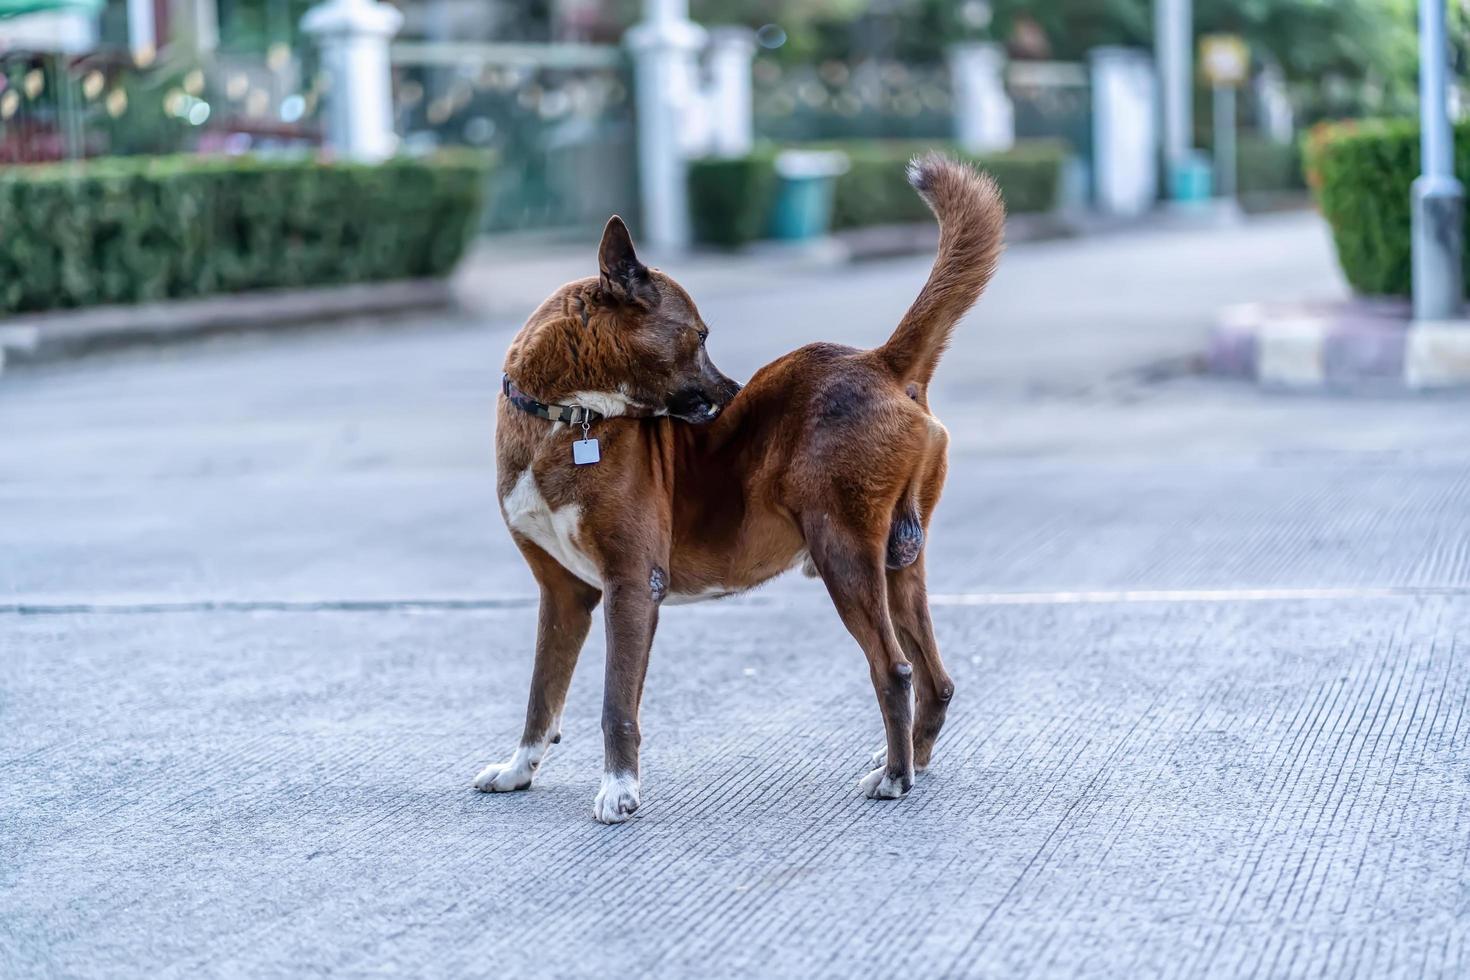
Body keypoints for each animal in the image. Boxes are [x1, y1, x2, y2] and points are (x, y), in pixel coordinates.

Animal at [476, 157, 1005, 822]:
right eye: (700, 337)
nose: (733, 397)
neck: (566, 417)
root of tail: (879, 362)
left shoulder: (632, 584)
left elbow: (615, 704)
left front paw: (619, 789)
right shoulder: (563, 596)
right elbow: (540, 695)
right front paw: (519, 769)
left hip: (843, 554)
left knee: (895, 670)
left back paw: (892, 777)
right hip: (898, 564)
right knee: (937, 679)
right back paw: (910, 764)